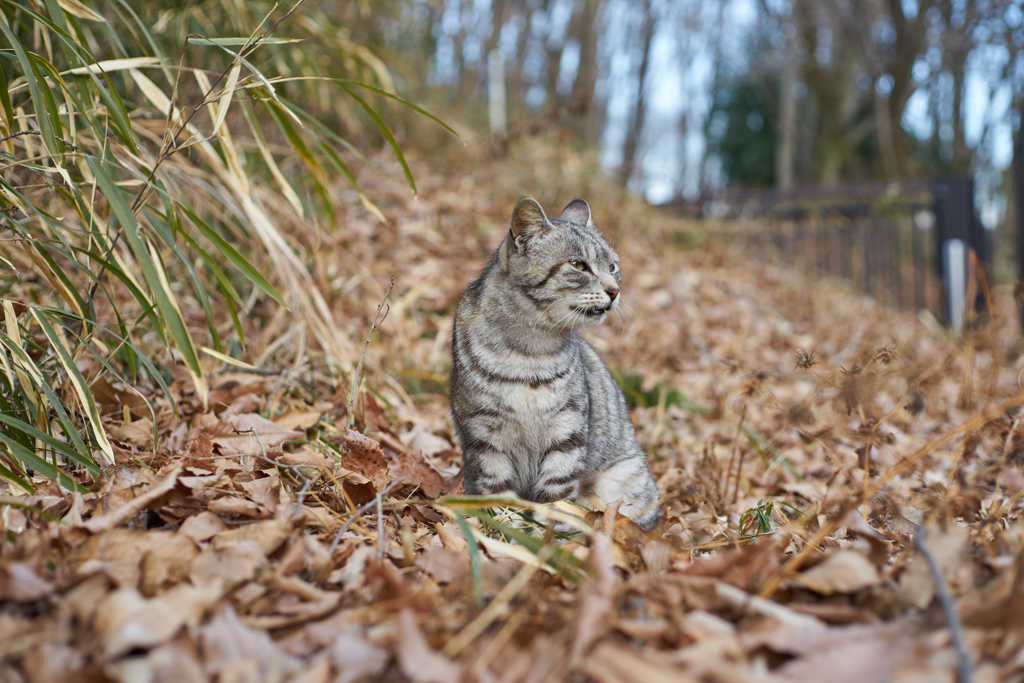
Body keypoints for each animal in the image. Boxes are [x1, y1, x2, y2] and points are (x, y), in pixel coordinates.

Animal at [450, 194, 659, 532]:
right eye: (578, 265)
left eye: (612, 266)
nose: (615, 291)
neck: (528, 349)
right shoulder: (484, 433)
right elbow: (497, 488)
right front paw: (505, 525)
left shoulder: (567, 431)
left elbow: (556, 495)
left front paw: (547, 532)